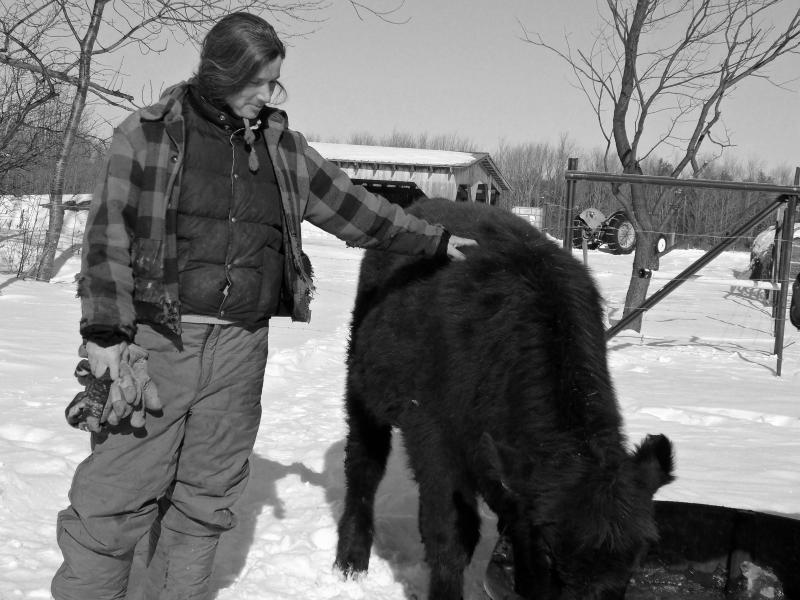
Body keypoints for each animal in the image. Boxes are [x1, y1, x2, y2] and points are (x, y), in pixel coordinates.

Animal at [334, 198, 674, 600]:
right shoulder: (434, 440)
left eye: (639, 554)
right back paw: (351, 561)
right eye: (551, 550)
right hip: (361, 390)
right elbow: (450, 534)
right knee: (363, 467)